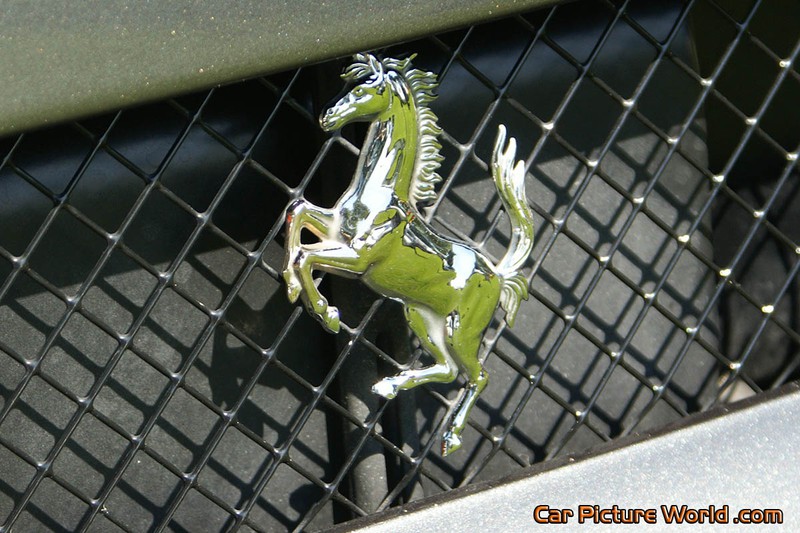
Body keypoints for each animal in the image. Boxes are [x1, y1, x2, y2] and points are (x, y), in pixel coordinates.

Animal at [282, 53, 534, 455]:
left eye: (364, 90)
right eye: (348, 83)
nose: (327, 116)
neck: (379, 193)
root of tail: (496, 273)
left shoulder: (358, 258)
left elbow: (306, 255)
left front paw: (326, 313)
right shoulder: (334, 228)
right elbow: (298, 212)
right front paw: (293, 286)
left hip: (461, 328)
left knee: (478, 376)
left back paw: (450, 437)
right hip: (419, 313)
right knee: (448, 369)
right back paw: (389, 386)